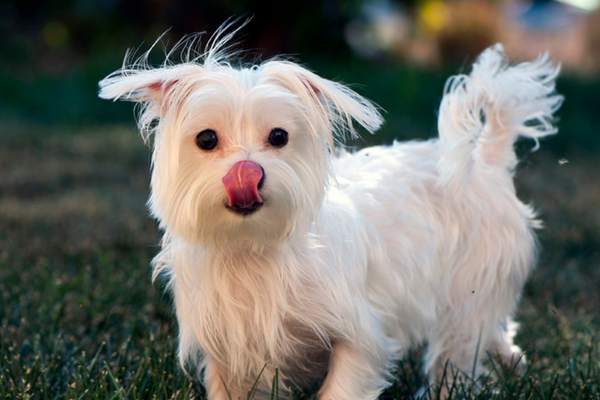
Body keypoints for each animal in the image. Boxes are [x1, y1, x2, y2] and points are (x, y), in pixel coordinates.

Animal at [98, 25, 564, 400]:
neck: (255, 251)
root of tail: (486, 160)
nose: (246, 173)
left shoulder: (360, 339)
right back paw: (512, 360)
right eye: (207, 139)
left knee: (459, 353)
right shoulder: (229, 353)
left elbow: (342, 387)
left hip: (466, 296)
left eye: (279, 136)